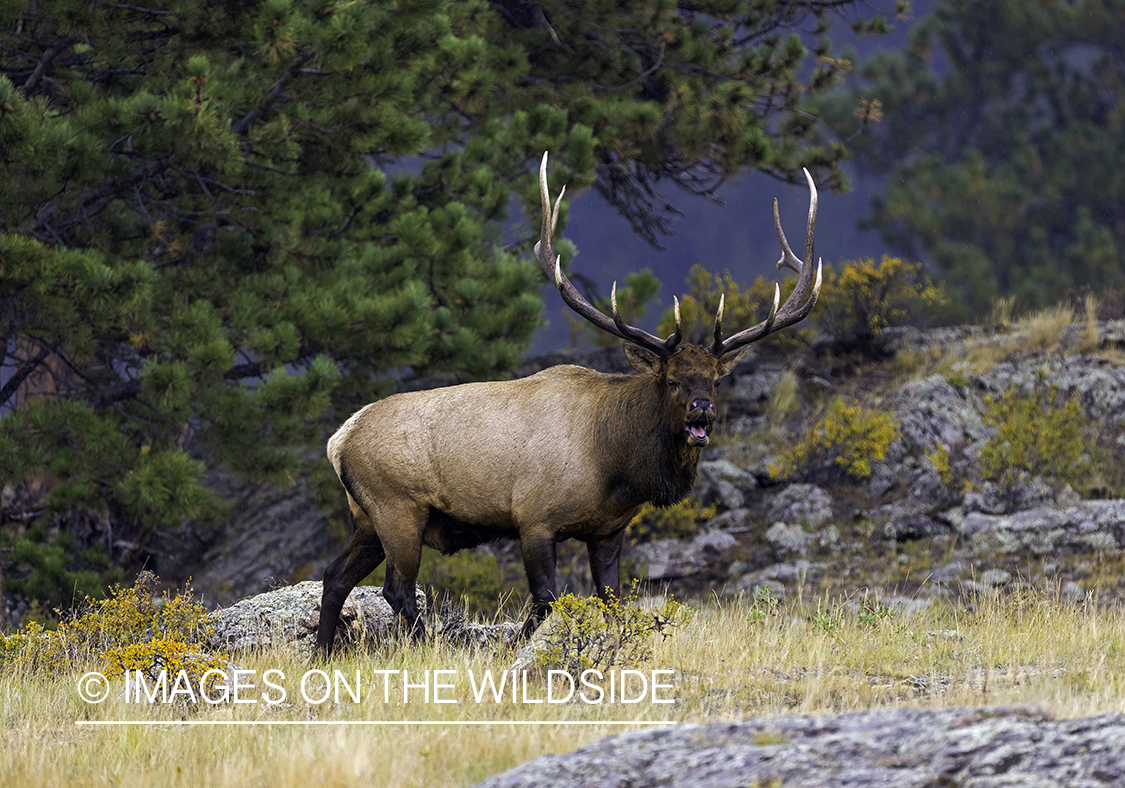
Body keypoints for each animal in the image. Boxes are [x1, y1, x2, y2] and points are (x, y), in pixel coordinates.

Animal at [312, 151, 823, 652]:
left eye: (716, 381)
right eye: (672, 380)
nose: (703, 409)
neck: (615, 466)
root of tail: (339, 440)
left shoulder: (609, 529)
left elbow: (611, 600)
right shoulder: (534, 518)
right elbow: (546, 598)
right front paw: (513, 650)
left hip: (367, 517)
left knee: (334, 576)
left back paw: (322, 650)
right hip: (398, 507)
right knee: (396, 589)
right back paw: (423, 646)